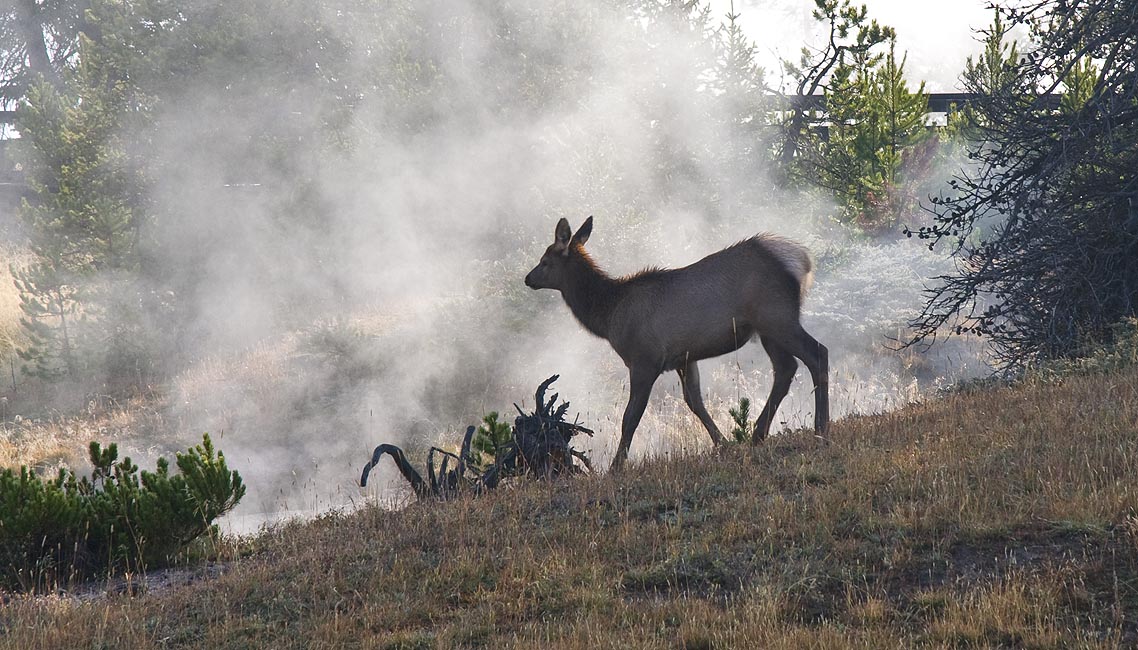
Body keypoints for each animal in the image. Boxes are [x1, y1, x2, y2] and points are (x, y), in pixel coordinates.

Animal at [524, 216, 829, 471]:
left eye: (545, 260)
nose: (528, 278)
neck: (608, 315)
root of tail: (801, 260)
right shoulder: (684, 358)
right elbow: (695, 402)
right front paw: (723, 443)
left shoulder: (644, 359)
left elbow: (630, 416)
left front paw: (615, 467)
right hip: (768, 329)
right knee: (786, 369)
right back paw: (758, 434)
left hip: (776, 317)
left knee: (817, 353)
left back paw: (821, 428)